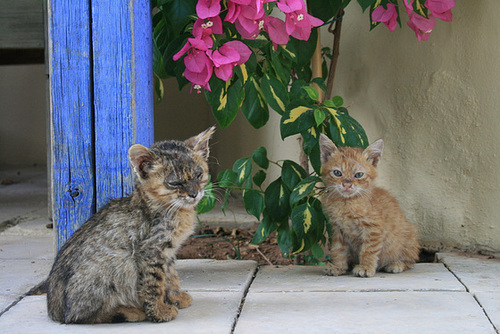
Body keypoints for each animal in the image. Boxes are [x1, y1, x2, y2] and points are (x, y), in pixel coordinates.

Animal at [47, 126, 217, 322]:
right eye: (175, 183)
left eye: (199, 175)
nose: (194, 193)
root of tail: (54, 310)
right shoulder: (150, 249)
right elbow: (154, 283)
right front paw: (159, 311)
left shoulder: (168, 251)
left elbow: (170, 274)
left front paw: (175, 296)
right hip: (118, 264)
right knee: (79, 316)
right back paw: (129, 311)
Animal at [318, 134, 420, 278]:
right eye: (337, 173)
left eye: (358, 175)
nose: (347, 184)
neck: (346, 202)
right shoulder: (338, 229)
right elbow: (338, 250)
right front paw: (338, 267)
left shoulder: (373, 228)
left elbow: (368, 250)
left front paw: (366, 267)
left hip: (410, 235)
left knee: (410, 261)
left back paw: (396, 264)